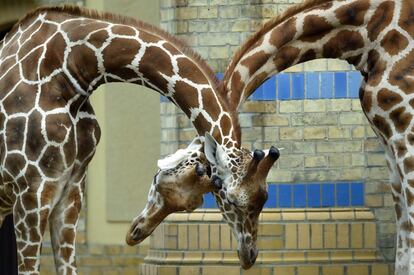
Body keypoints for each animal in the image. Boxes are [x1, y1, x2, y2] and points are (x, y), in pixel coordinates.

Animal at [0, 5, 280, 274]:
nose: (249, 256)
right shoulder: (32, 189)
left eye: (196, 203)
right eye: (229, 199)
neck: (69, 74)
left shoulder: (71, 188)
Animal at [220, 0, 414, 272]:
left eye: (231, 199)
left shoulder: (407, 128)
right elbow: (403, 235)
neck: (370, 34)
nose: (247, 256)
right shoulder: (389, 138)